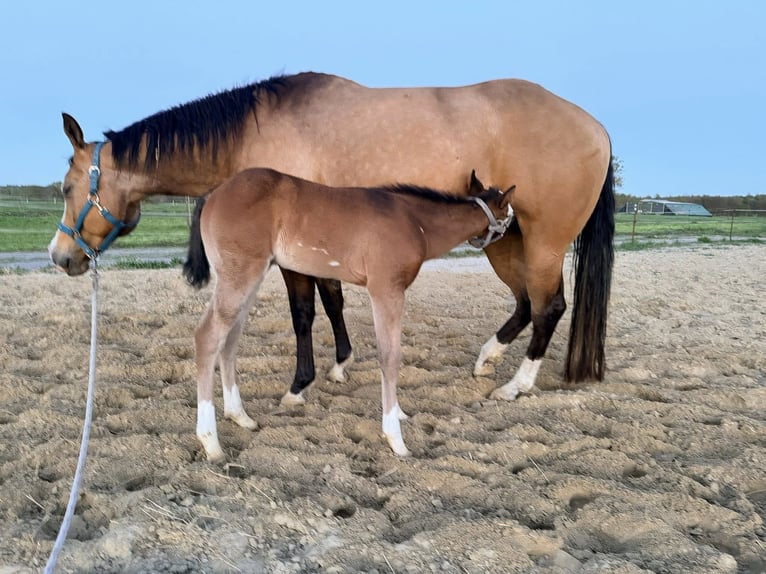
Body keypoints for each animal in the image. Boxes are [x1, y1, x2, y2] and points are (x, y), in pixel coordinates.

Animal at [49, 72, 614, 405]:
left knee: (549, 306)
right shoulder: (324, 244)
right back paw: (487, 359)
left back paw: (516, 384)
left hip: (543, 242)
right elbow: (334, 299)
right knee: (524, 302)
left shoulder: (292, 255)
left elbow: (304, 312)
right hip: (501, 238)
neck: (258, 130)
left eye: (68, 187)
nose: (60, 256)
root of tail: (597, 128)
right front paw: (341, 364)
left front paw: (301, 385)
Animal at [182, 167, 514, 460]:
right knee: (207, 337)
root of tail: (213, 193)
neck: (413, 221)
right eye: (509, 216)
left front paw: (399, 413)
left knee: (229, 339)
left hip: (250, 278)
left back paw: (240, 416)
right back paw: (211, 442)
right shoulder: (386, 289)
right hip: (240, 276)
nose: (516, 236)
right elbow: (390, 356)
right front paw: (395, 437)